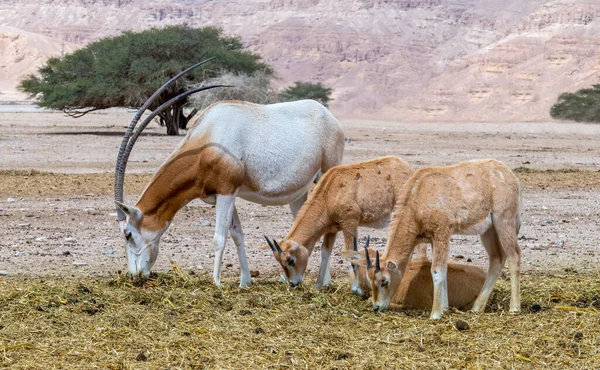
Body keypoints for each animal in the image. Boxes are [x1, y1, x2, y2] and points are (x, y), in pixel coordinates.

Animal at [264, 155, 426, 290]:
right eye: (280, 262)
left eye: (290, 260)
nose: (293, 283)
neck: (330, 189)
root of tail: (410, 171)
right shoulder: (332, 229)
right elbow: (325, 252)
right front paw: (318, 286)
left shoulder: (350, 223)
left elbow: (351, 254)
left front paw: (356, 288)